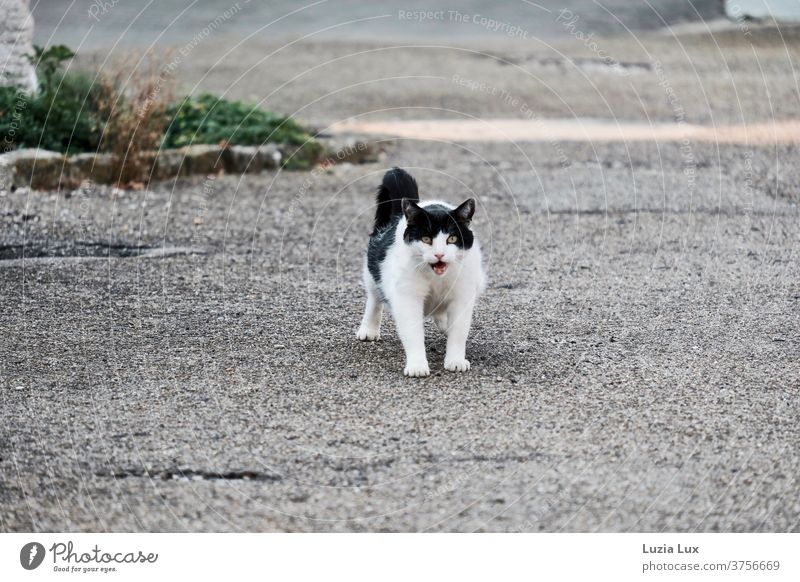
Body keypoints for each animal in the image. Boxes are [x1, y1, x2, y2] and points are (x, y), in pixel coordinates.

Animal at [358, 169, 488, 378]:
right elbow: (412, 332)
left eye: (452, 239)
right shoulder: (407, 298)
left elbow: (459, 331)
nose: (439, 254)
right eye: (426, 239)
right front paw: (417, 365)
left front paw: (455, 360)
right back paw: (368, 329)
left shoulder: (462, 295)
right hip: (373, 272)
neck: (436, 278)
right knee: (374, 297)